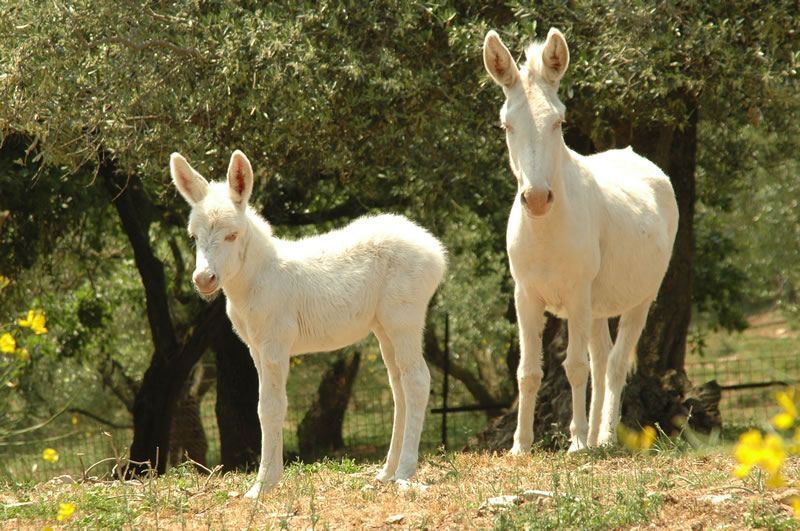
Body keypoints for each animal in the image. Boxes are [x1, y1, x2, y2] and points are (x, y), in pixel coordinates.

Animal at [172, 151, 446, 498]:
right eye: (193, 237)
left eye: (232, 234)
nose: (203, 279)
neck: (256, 278)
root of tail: (434, 248)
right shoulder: (254, 347)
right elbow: (265, 407)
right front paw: (270, 479)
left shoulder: (275, 342)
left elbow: (270, 407)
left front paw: (261, 485)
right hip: (383, 326)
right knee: (398, 386)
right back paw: (386, 472)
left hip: (404, 318)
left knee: (417, 380)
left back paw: (405, 472)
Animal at [484, 28, 680, 454]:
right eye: (506, 126)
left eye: (559, 122)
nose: (536, 199)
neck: (546, 233)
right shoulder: (525, 295)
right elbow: (527, 371)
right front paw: (521, 446)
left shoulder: (576, 293)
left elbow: (574, 367)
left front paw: (574, 444)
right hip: (597, 304)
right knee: (602, 358)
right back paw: (594, 438)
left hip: (640, 299)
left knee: (616, 364)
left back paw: (602, 438)